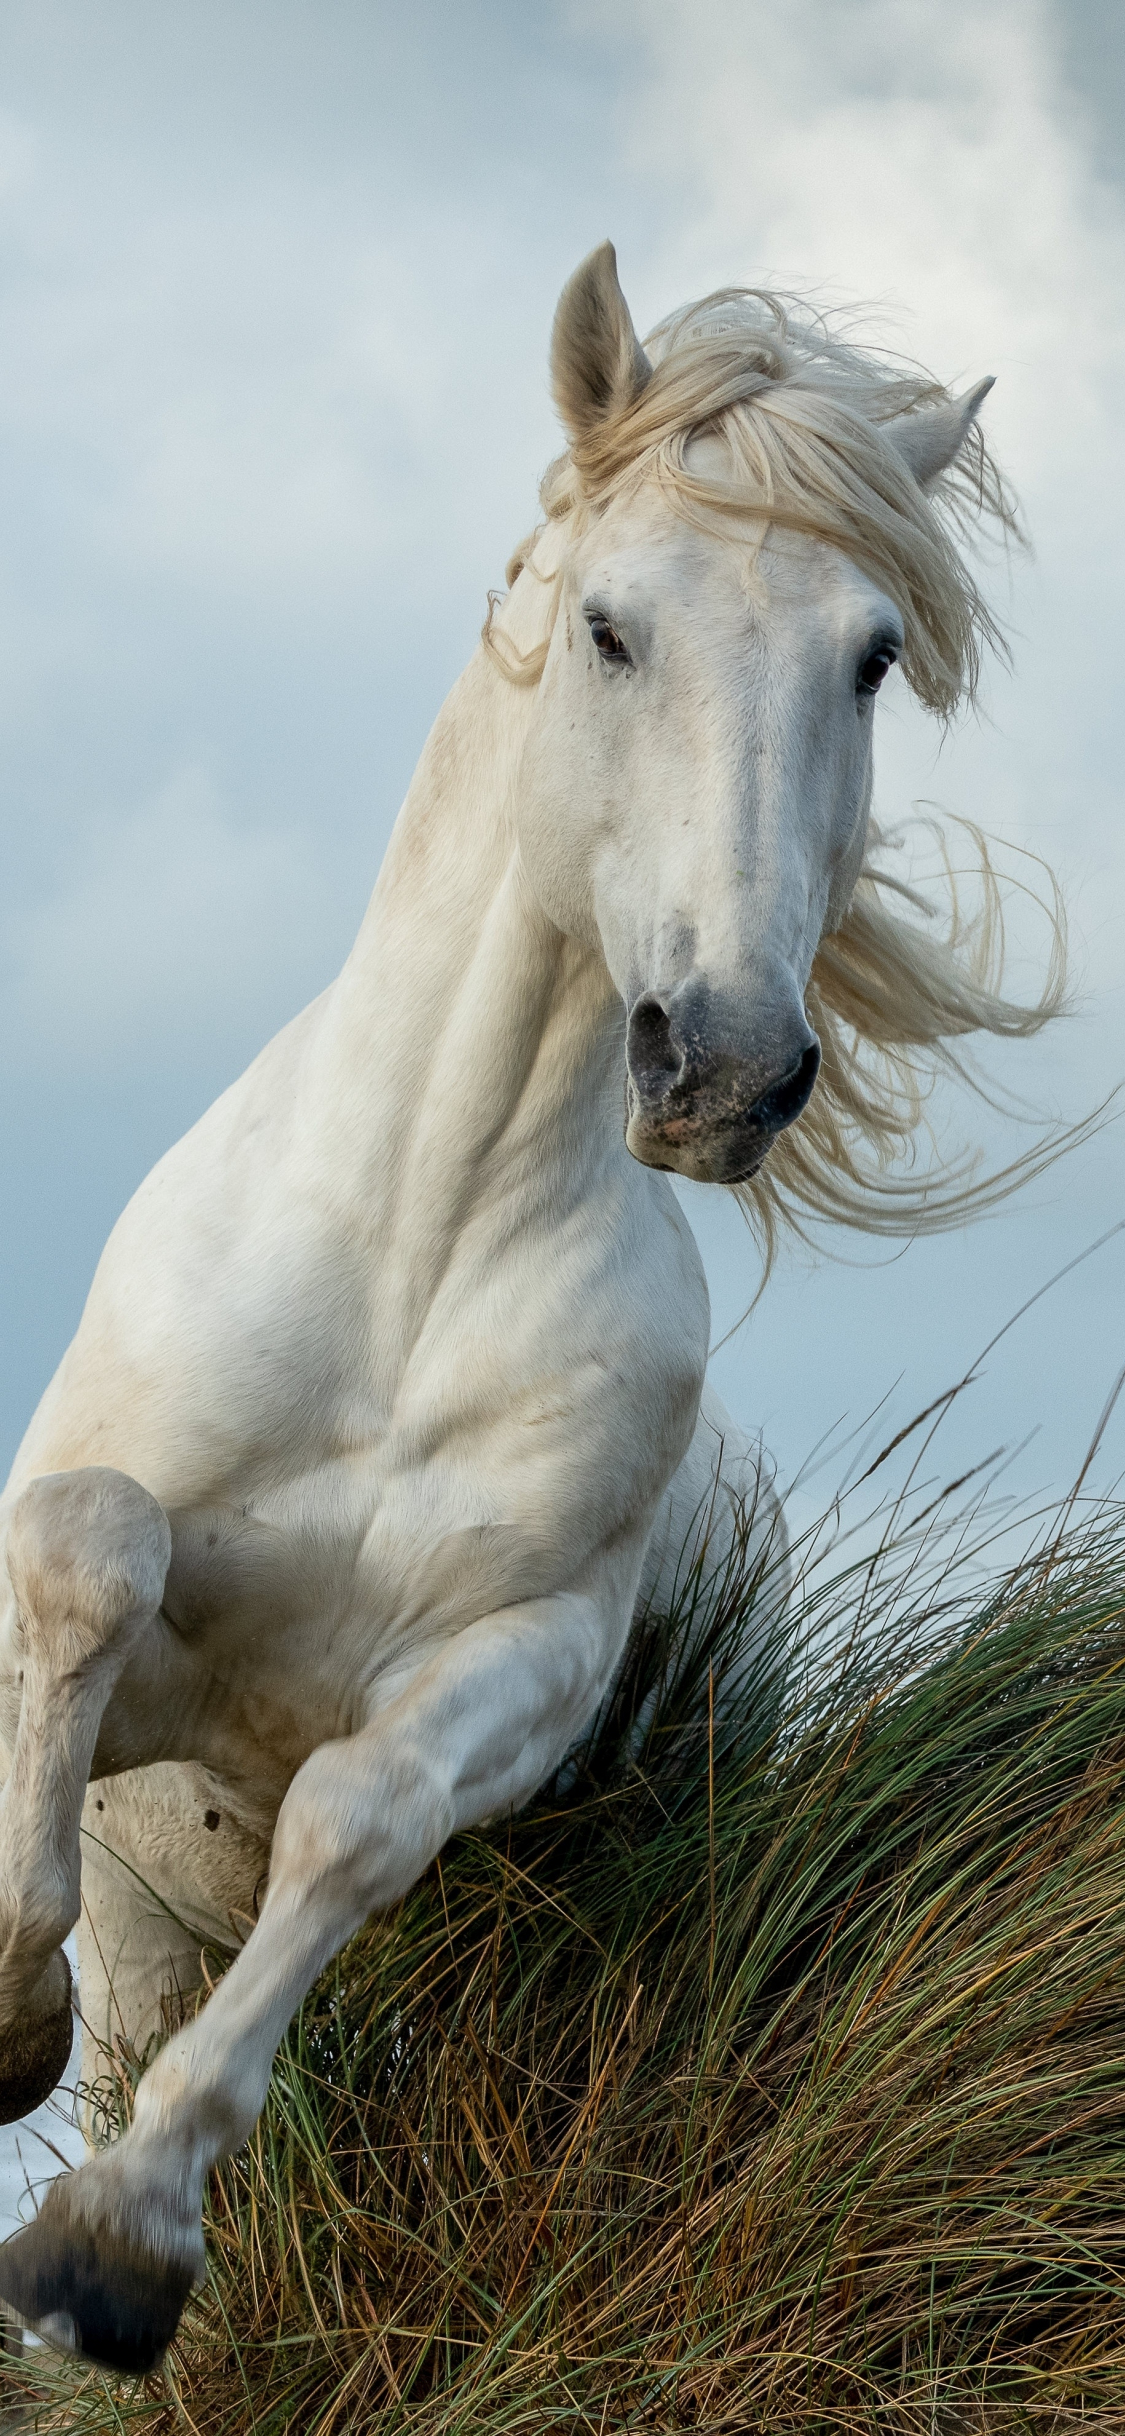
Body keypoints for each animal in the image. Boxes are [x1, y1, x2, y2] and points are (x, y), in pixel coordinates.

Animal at [0, 243, 1059, 2372]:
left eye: (869, 656)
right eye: (608, 626)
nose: (724, 1063)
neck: (414, 1254)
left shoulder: (523, 1665)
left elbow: (354, 1810)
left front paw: (117, 2247)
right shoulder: (131, 1648)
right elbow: (88, 1552)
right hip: (161, 1912)